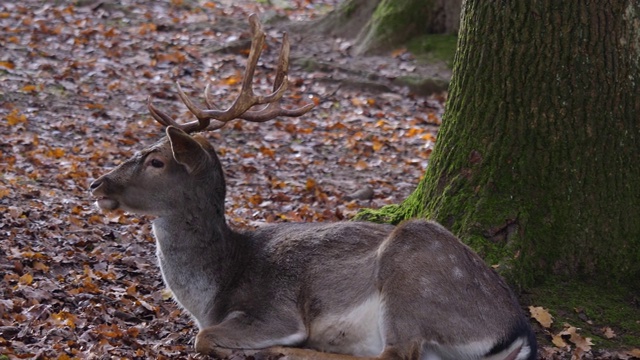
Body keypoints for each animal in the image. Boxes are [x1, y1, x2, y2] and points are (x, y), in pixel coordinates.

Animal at [90, 13, 536, 360]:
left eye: (157, 160)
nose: (98, 183)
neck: (214, 290)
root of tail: (518, 331)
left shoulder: (274, 310)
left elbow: (203, 336)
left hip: (414, 275)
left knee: (394, 352)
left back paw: (289, 351)